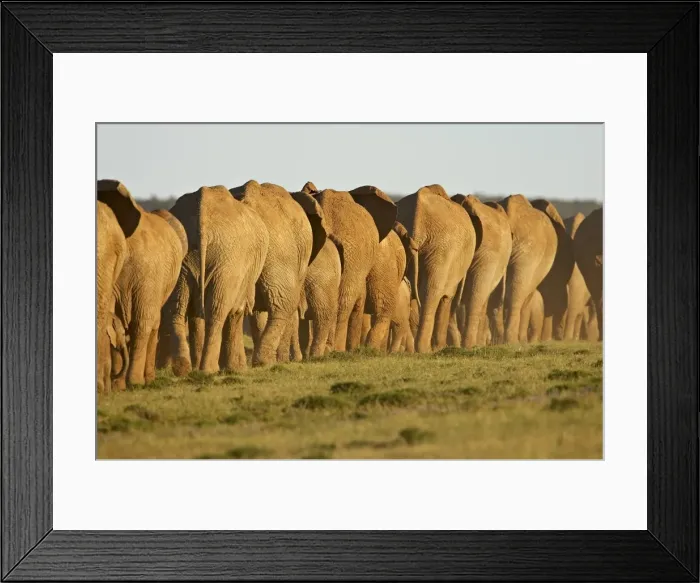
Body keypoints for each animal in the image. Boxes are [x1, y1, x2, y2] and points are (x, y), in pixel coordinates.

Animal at [164, 185, 269, 375]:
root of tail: (202, 217)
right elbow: (236, 311)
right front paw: (237, 369)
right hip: (227, 260)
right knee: (216, 311)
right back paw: (208, 370)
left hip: (183, 257)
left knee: (176, 309)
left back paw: (183, 369)